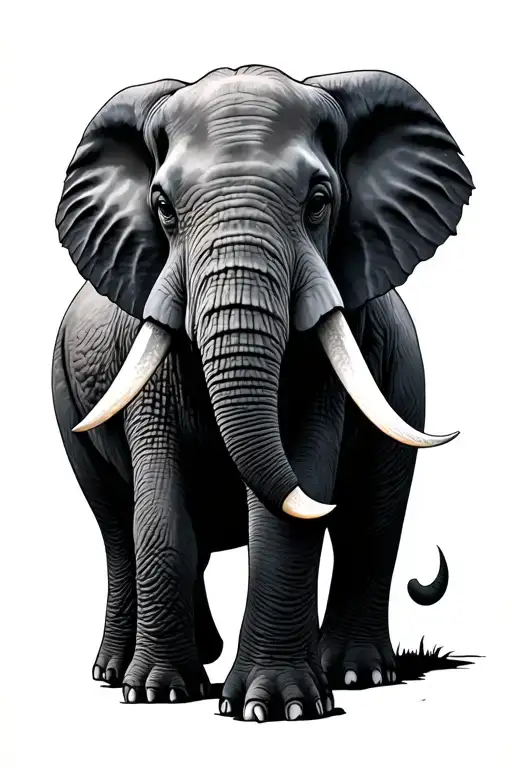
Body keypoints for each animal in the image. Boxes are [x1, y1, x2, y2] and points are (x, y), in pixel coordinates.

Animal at [52, 65, 473, 721]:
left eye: (319, 203)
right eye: (162, 208)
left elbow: (294, 493)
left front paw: (275, 708)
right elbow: (160, 509)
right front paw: (159, 693)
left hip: (407, 381)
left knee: (373, 519)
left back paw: (358, 675)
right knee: (116, 525)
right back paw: (118, 672)